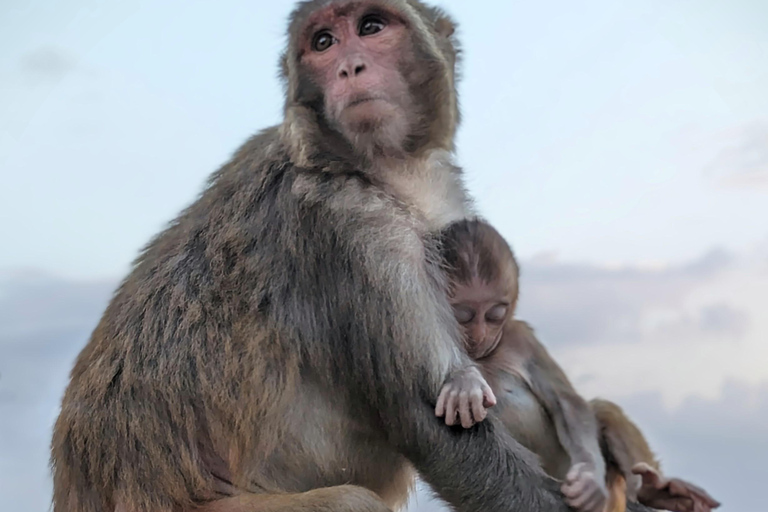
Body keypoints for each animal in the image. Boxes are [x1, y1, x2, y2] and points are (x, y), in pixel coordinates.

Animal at [50, 3, 659, 512]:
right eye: (323, 42)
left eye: (370, 26)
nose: (349, 68)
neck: (365, 166)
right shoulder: (352, 234)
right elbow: (432, 425)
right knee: (350, 502)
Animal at [435, 218, 721, 512]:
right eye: (464, 315)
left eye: (495, 315)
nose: (480, 335)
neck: (486, 355)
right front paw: (463, 382)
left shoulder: (521, 338)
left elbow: (567, 402)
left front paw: (589, 478)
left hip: (613, 490)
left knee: (602, 410)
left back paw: (657, 491)